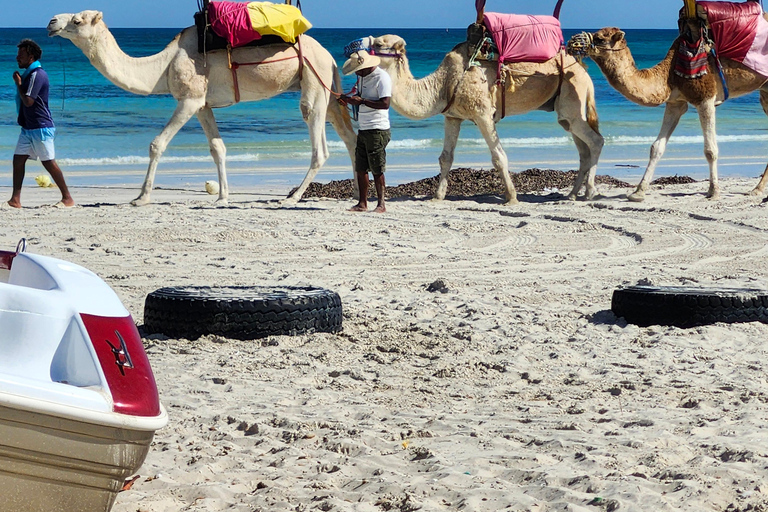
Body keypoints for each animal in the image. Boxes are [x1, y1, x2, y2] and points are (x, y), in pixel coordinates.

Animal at [47, 10, 357, 206]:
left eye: (77, 20)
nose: (51, 22)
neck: (163, 66)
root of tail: (328, 54)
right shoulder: (202, 104)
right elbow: (218, 148)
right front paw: (222, 197)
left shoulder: (189, 98)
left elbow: (157, 144)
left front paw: (141, 198)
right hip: (327, 88)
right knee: (350, 137)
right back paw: (356, 194)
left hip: (313, 79)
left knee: (318, 143)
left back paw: (292, 197)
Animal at [369, 34, 604, 204]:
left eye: (379, 43)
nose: (360, 53)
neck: (444, 83)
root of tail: (583, 71)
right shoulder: (452, 117)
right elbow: (446, 157)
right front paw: (437, 196)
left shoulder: (483, 114)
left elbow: (499, 156)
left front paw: (511, 198)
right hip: (567, 111)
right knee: (582, 148)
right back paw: (571, 195)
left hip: (573, 98)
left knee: (596, 140)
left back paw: (590, 191)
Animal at [568, 26, 768, 202]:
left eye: (600, 38)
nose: (573, 42)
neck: (669, 74)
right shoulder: (675, 103)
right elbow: (656, 148)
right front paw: (638, 193)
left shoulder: (705, 98)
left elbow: (710, 150)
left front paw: (713, 192)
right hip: (765, 92)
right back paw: (756, 190)